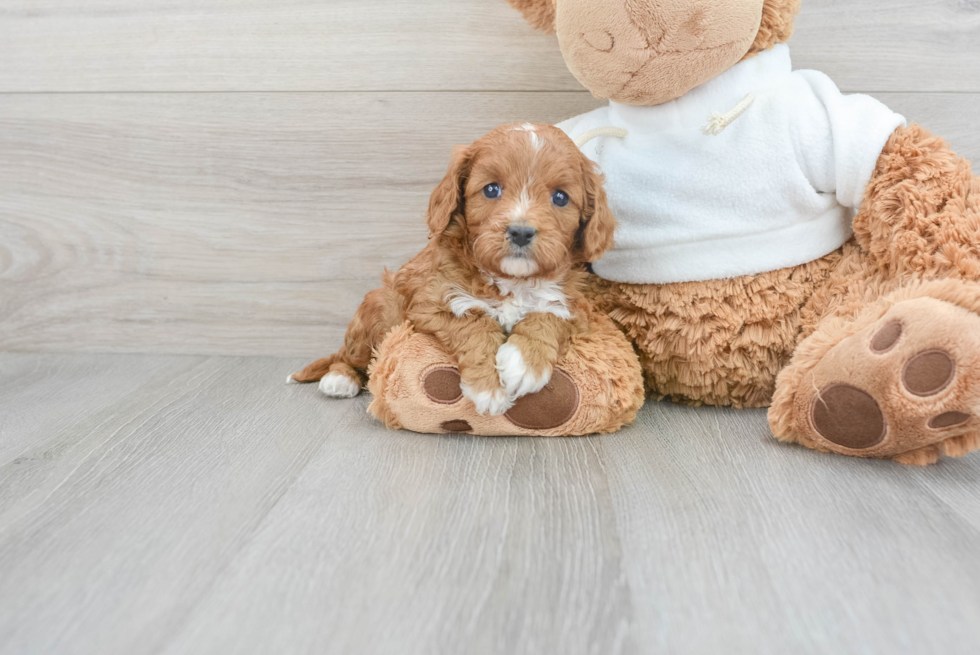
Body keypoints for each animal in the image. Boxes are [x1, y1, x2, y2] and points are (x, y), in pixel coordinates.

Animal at [288, 123, 616, 416]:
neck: (513, 280)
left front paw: (524, 364)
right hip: (376, 308)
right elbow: (475, 323)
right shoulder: (429, 303)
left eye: (560, 197)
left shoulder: (577, 306)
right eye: (491, 189)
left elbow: (549, 314)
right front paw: (489, 389)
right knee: (348, 356)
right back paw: (339, 378)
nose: (521, 232)